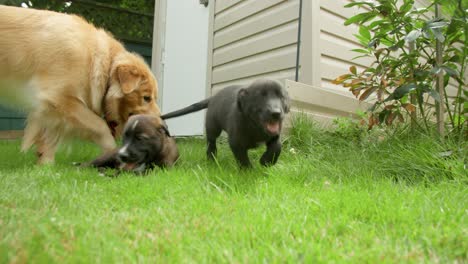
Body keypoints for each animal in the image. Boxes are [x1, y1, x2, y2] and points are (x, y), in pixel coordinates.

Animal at [0, 5, 160, 163]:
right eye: (146, 98)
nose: (160, 123)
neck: (100, 62)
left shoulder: (52, 108)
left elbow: (50, 138)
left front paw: (45, 166)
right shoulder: (59, 98)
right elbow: (100, 126)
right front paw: (111, 152)